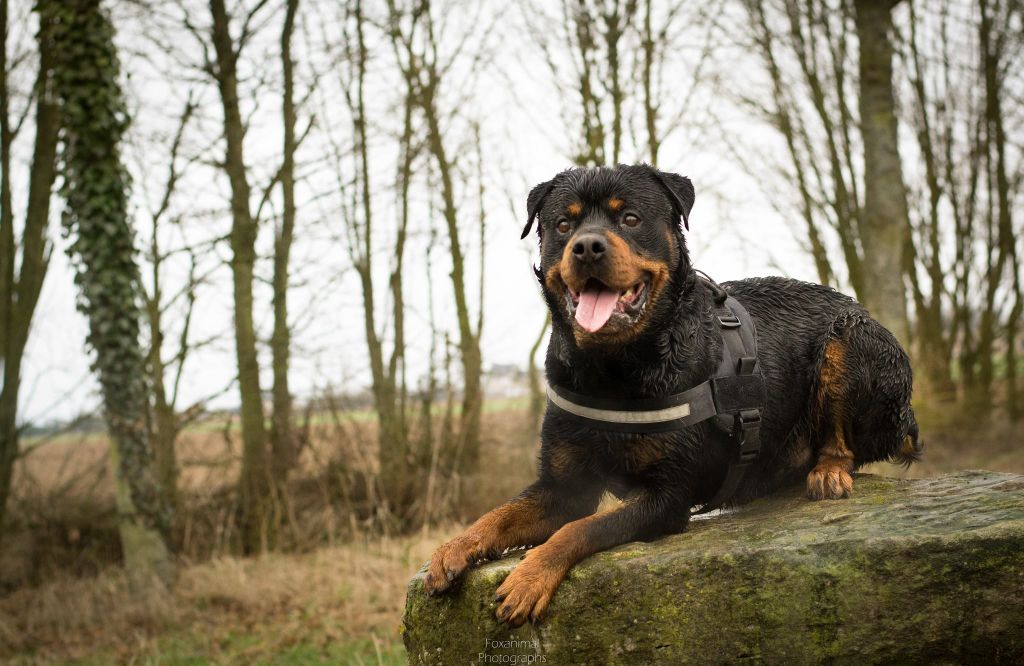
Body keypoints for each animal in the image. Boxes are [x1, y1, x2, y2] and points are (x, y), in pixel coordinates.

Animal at [423, 162, 921, 627]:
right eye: (563, 225)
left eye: (630, 219)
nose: (586, 247)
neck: (613, 370)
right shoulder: (562, 487)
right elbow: (500, 515)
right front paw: (454, 547)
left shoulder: (667, 497)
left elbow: (580, 529)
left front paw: (529, 577)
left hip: (852, 339)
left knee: (842, 435)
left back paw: (829, 471)